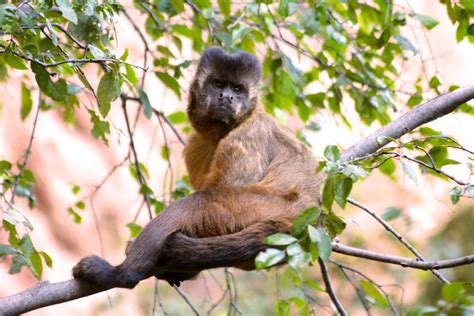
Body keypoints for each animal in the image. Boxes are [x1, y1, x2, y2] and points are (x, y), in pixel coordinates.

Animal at [72, 46, 320, 288]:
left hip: (266, 207)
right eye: (218, 84)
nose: (227, 96)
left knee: (203, 200)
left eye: (237, 89)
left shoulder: (250, 133)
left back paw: (120, 274)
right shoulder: (196, 144)